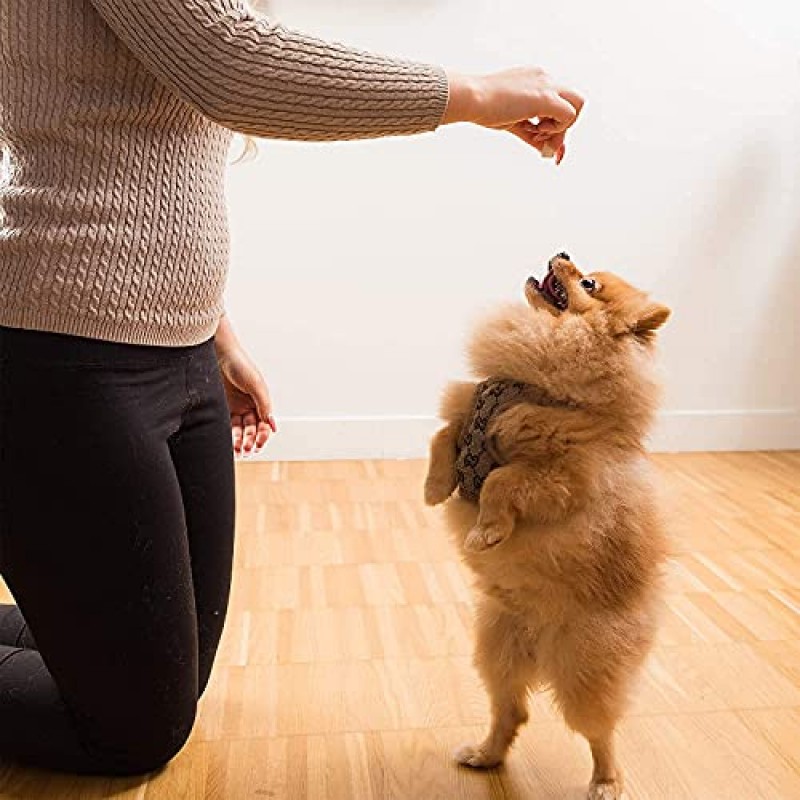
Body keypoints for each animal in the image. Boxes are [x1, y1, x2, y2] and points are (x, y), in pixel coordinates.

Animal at [424, 252, 668, 800]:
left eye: (588, 284)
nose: (562, 252)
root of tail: (539, 640)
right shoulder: (467, 405)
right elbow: (443, 433)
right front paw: (434, 487)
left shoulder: (558, 476)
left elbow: (500, 482)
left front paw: (486, 532)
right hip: (496, 651)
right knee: (512, 712)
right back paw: (485, 755)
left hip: (584, 671)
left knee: (600, 732)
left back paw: (606, 782)